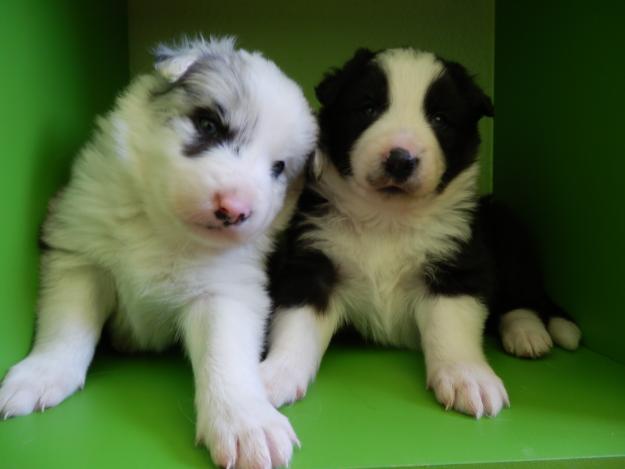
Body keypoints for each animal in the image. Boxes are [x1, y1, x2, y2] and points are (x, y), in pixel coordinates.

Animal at [0, 37, 316, 468]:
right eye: (208, 125)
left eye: (279, 168)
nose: (234, 210)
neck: (163, 228)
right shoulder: (80, 256)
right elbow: (67, 326)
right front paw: (42, 374)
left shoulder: (226, 292)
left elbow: (226, 358)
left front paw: (245, 423)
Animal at [260, 47, 584, 416]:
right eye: (368, 108)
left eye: (440, 119)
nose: (400, 159)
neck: (387, 219)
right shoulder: (312, 265)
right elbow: (296, 325)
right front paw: (275, 374)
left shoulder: (456, 267)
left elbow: (452, 328)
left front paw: (468, 378)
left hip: (507, 230)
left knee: (522, 297)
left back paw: (528, 333)